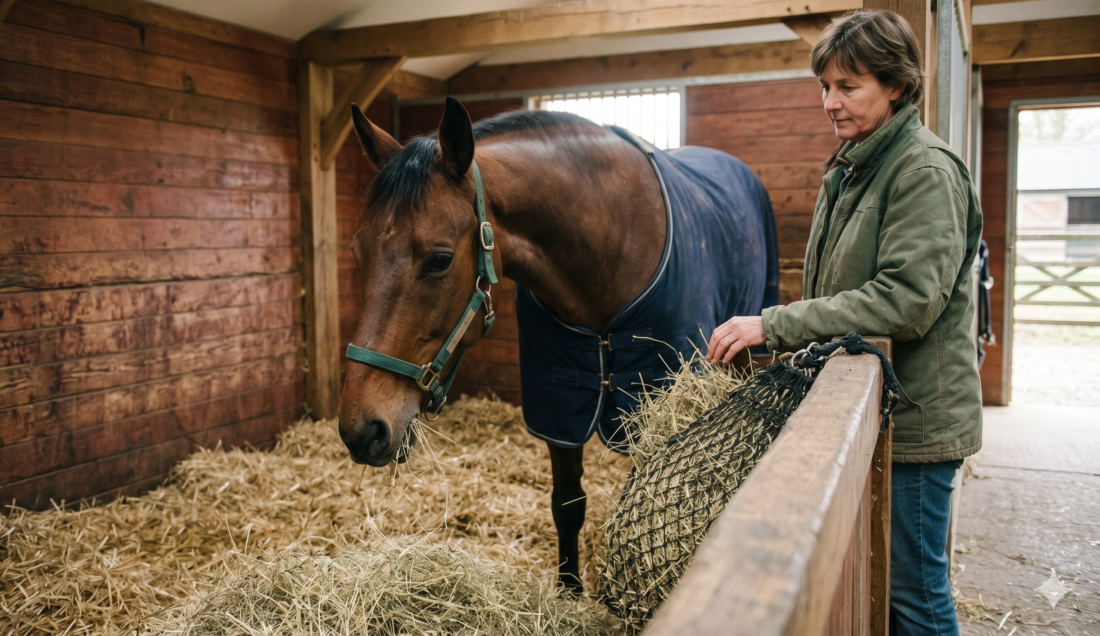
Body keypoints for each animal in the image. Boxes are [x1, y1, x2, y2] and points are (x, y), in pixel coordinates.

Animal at [338, 97, 778, 593]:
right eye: (357, 251)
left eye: (439, 260)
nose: (361, 429)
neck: (611, 243)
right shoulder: (561, 406)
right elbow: (567, 505)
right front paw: (570, 589)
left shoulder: (651, 404)